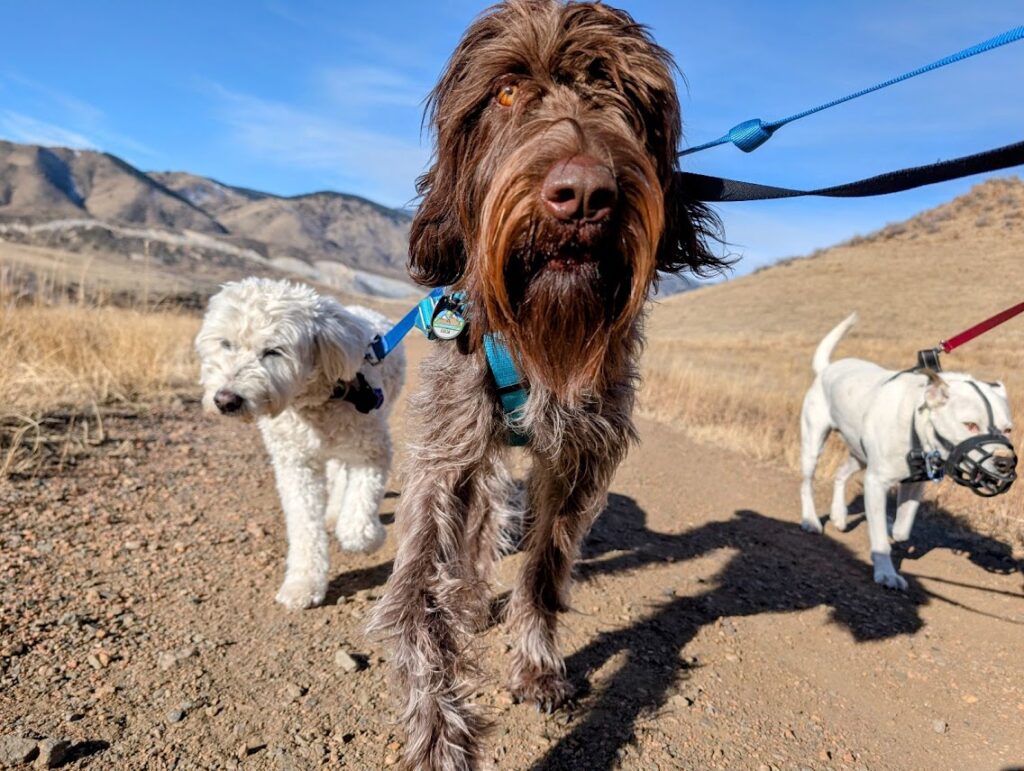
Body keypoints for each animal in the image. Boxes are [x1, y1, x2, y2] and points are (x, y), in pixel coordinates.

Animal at [195, 276, 403, 606]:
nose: (226, 400)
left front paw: (370, 537)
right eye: (226, 343)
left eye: (273, 351)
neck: (315, 404)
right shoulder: (295, 465)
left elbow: (358, 518)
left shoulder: (373, 451)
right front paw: (304, 583)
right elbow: (304, 526)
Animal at [372, 3, 724, 765]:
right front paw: (439, 734)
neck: (543, 334)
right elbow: (417, 600)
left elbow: (543, 569)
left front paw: (534, 665)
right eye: (506, 91)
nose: (585, 194)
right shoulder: (447, 452)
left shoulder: (580, 456)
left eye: (624, 94)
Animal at [798, 313, 1015, 589]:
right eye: (970, 425)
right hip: (814, 444)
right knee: (807, 484)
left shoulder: (914, 484)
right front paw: (886, 573)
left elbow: (902, 530)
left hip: (859, 454)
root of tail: (827, 369)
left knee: (840, 473)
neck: (917, 423)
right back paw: (811, 520)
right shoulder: (876, 482)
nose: (1005, 464)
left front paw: (890, 525)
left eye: (1007, 430)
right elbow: (881, 541)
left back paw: (839, 516)